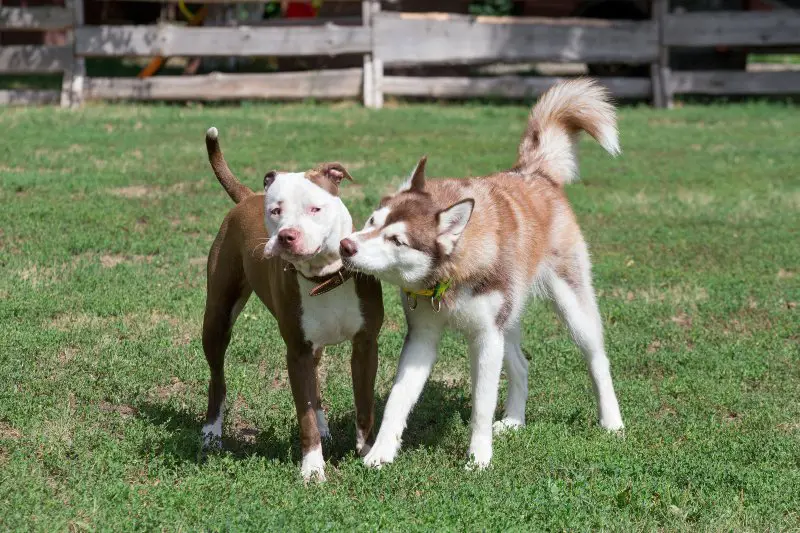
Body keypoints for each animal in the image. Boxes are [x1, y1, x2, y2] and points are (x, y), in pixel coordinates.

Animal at [203, 127, 384, 480]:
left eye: (315, 209)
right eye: (276, 211)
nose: (286, 236)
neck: (324, 278)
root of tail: (247, 197)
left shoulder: (366, 344)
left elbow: (365, 403)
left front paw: (368, 452)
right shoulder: (297, 352)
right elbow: (305, 414)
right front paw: (313, 469)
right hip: (217, 316)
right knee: (217, 375)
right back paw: (211, 432)